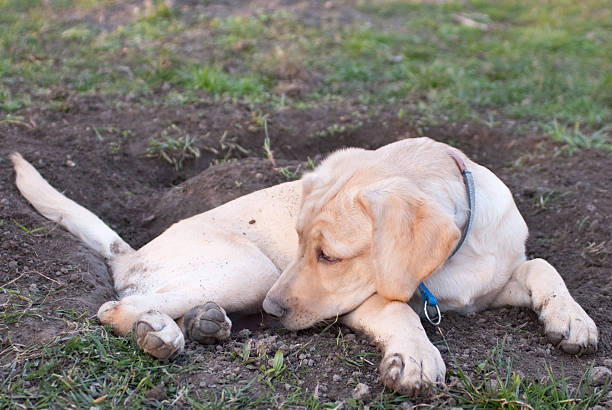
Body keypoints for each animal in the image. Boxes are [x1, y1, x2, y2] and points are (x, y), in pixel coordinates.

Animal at [9, 137, 596, 394]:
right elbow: (402, 312)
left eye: (328, 255)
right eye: (297, 241)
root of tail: (133, 252)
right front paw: (414, 357)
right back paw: (162, 334)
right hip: (250, 271)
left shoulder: (497, 277)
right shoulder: (365, 304)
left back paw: (202, 323)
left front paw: (572, 320)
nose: (271, 314)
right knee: (115, 306)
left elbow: (544, 268)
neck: (457, 261)